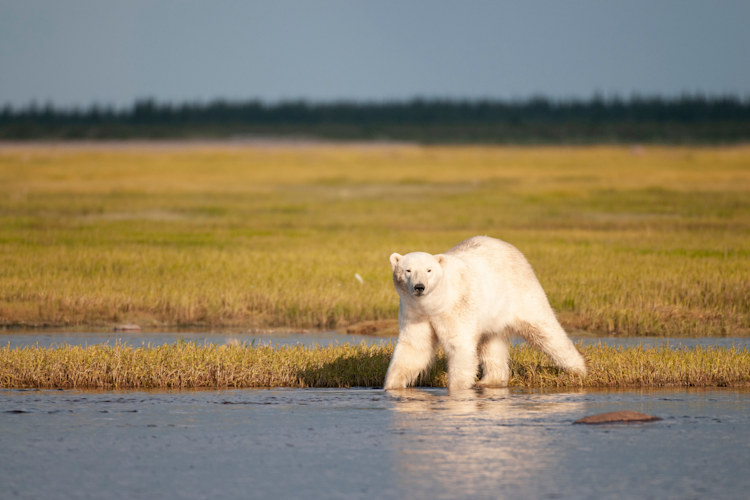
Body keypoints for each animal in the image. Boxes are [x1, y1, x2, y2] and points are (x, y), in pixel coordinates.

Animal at [384, 235, 587, 391]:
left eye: (429, 270)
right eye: (408, 270)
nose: (419, 287)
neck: (435, 304)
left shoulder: (458, 307)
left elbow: (460, 346)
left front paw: (458, 389)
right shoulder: (415, 313)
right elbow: (414, 348)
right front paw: (392, 386)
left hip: (522, 293)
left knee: (546, 331)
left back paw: (578, 370)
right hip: (492, 313)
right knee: (490, 342)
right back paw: (489, 381)